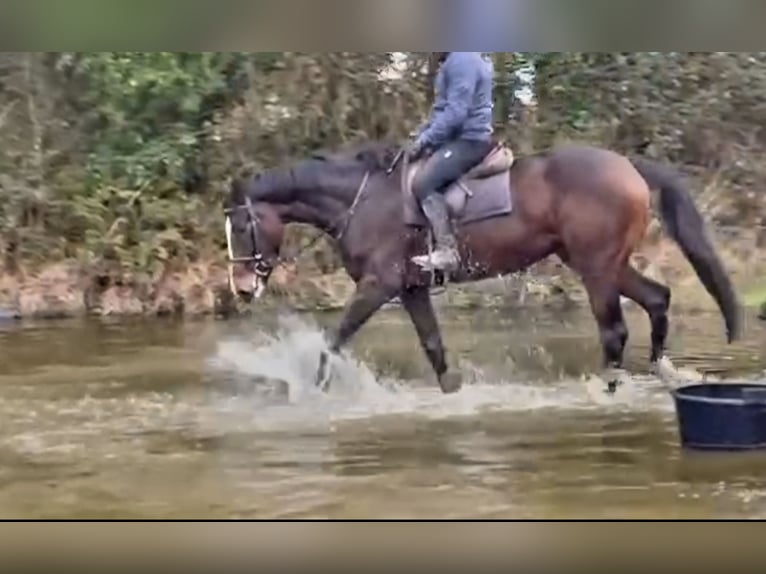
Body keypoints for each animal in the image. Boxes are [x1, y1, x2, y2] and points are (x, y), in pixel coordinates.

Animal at [224, 142, 744, 396]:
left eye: (244, 227)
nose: (242, 288)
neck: (362, 200)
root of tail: (626, 165)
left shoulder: (379, 285)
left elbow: (333, 341)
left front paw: (310, 393)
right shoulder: (410, 288)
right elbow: (434, 348)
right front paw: (452, 396)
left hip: (596, 267)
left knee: (614, 331)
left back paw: (607, 390)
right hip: (603, 263)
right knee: (657, 299)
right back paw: (663, 373)